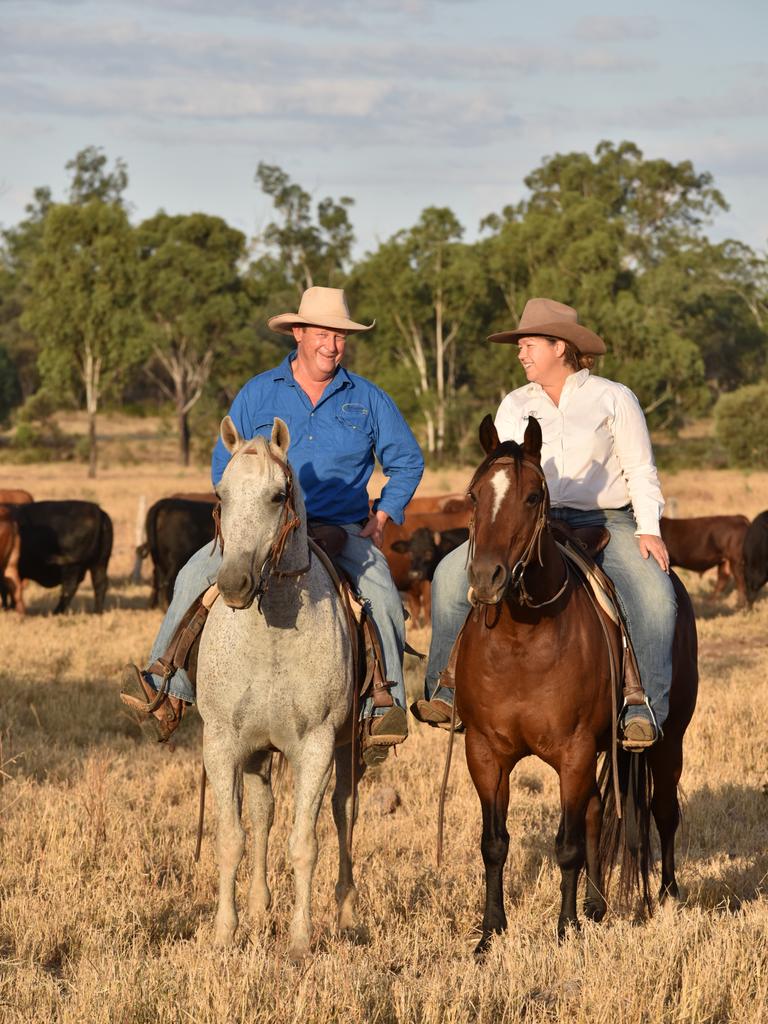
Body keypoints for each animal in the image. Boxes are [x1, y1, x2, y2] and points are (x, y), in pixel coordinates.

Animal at [195, 413, 358, 958]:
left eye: (277, 494)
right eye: (221, 494)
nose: (234, 585)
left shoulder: (318, 745)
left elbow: (305, 843)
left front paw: (301, 940)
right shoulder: (222, 742)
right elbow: (232, 837)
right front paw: (225, 933)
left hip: (348, 749)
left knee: (344, 813)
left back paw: (346, 914)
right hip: (257, 750)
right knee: (263, 813)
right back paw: (258, 907)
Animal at [456, 413, 704, 950]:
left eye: (533, 497)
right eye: (473, 495)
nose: (487, 578)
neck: (523, 639)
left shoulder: (571, 751)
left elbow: (567, 844)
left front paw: (565, 930)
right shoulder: (485, 753)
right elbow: (494, 843)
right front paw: (490, 933)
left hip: (668, 740)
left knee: (663, 811)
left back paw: (668, 896)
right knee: (594, 811)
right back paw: (596, 905)